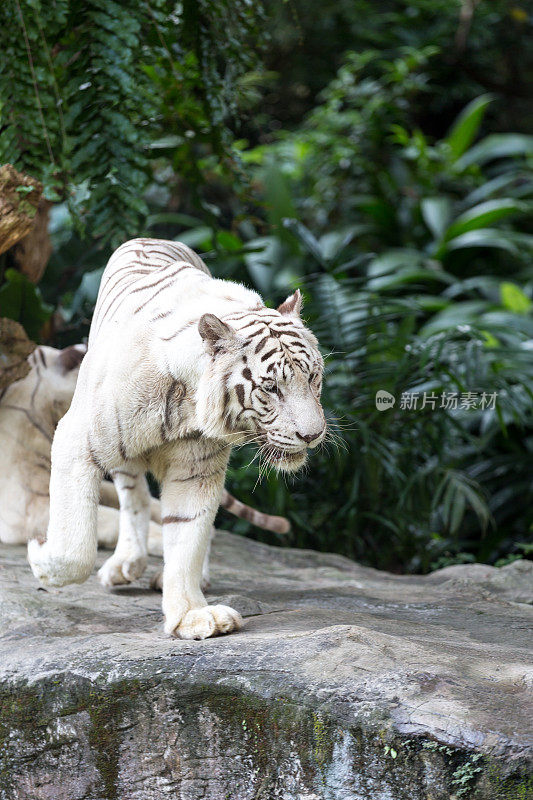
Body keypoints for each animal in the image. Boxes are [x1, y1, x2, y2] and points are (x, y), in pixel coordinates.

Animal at [30, 236, 328, 636]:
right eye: (271, 388)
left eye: (312, 377)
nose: (312, 435)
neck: (186, 403)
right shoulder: (76, 441)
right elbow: (75, 546)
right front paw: (40, 556)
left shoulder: (196, 469)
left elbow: (188, 534)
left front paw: (190, 615)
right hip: (119, 455)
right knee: (134, 496)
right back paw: (126, 563)